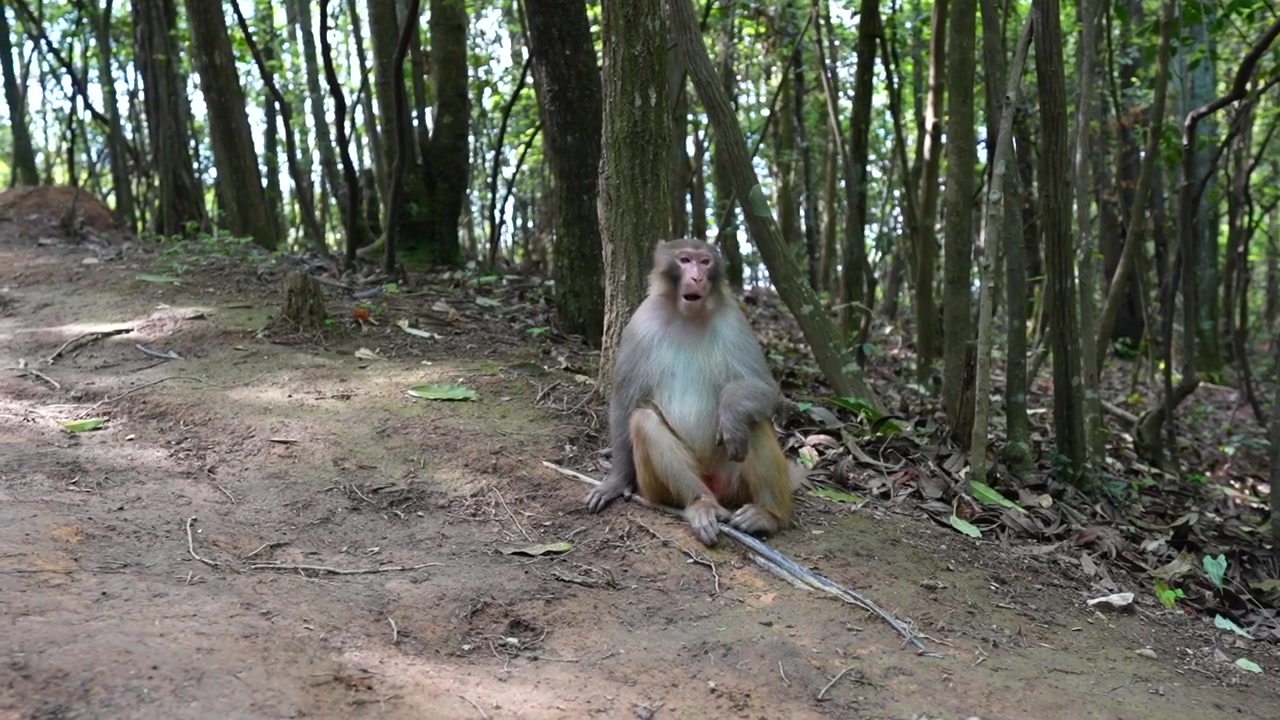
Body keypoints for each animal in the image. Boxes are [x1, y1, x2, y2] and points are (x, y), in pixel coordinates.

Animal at [586, 238, 805, 546]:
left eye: (705, 262)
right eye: (685, 260)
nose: (697, 277)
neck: (687, 316)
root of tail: (714, 485)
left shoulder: (734, 320)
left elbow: (768, 390)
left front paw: (731, 413)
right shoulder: (641, 322)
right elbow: (624, 402)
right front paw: (617, 480)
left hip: (734, 481)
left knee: (754, 421)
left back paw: (767, 515)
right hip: (657, 488)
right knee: (643, 419)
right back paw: (702, 504)